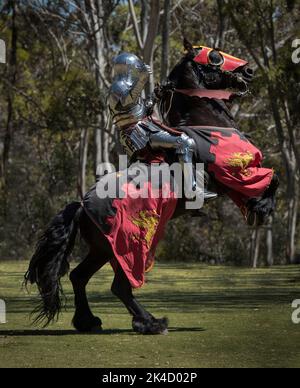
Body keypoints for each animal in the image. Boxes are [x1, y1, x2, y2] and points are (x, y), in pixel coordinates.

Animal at [25, 41, 278, 334]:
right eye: (215, 57)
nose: (248, 71)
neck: (207, 122)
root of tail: (82, 205)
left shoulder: (237, 179)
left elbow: (264, 183)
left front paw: (255, 208)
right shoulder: (236, 171)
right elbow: (272, 178)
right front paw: (262, 208)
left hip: (102, 249)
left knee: (79, 276)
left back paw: (88, 321)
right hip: (127, 247)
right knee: (120, 286)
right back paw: (150, 322)